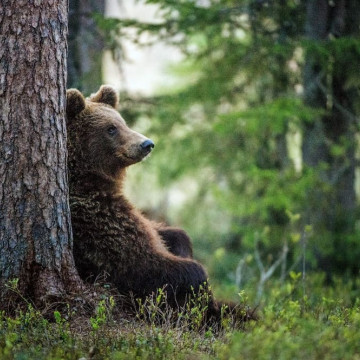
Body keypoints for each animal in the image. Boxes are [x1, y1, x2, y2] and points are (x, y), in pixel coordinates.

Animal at [67, 86, 253, 324]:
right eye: (111, 129)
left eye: (123, 122)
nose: (146, 144)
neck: (91, 181)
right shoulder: (100, 226)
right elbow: (146, 265)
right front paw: (206, 301)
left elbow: (170, 234)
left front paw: (182, 245)